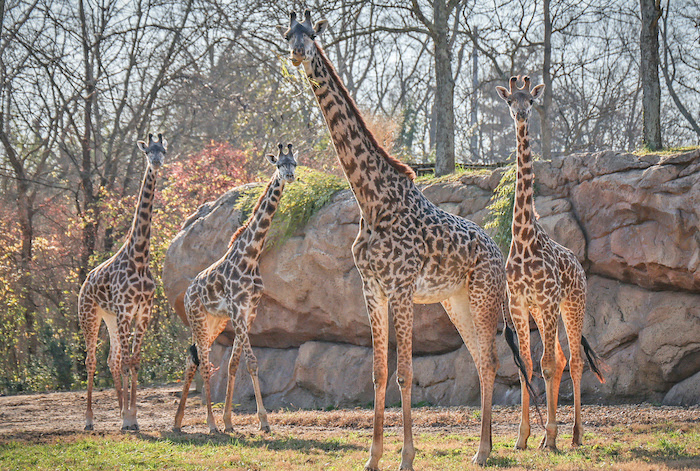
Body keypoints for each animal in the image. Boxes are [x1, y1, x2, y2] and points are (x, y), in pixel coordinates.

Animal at [78, 133, 166, 431]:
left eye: (163, 150)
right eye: (148, 151)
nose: (157, 162)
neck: (139, 257)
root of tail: (85, 282)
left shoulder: (143, 312)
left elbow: (134, 361)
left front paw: (132, 416)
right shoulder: (127, 312)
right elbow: (128, 360)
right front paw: (128, 418)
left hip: (110, 317)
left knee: (112, 359)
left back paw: (118, 412)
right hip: (90, 315)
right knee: (92, 360)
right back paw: (89, 420)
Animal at [173, 144, 297, 435]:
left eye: (294, 163)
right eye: (279, 164)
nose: (290, 176)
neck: (251, 256)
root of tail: (187, 293)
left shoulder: (250, 310)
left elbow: (234, 363)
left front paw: (230, 421)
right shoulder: (238, 309)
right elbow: (251, 362)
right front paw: (263, 422)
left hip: (214, 322)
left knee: (193, 360)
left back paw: (178, 422)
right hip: (198, 319)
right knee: (203, 362)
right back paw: (209, 424)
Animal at [279, 10, 517, 469]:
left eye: (312, 34)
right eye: (287, 34)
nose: (299, 54)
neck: (371, 200)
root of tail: (498, 250)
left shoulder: (402, 287)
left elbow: (406, 372)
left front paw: (407, 457)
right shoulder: (372, 288)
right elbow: (378, 373)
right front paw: (372, 458)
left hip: (484, 296)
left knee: (492, 360)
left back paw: (483, 451)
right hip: (455, 301)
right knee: (481, 361)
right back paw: (485, 447)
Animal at [496, 76, 606, 451]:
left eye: (530, 99)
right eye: (510, 99)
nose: (520, 114)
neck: (524, 237)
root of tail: (581, 268)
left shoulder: (544, 300)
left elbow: (544, 365)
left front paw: (550, 437)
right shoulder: (519, 303)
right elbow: (526, 366)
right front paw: (523, 438)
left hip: (572, 304)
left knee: (572, 361)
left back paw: (572, 436)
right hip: (550, 311)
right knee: (557, 359)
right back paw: (550, 435)